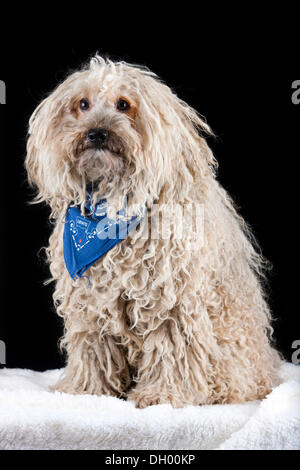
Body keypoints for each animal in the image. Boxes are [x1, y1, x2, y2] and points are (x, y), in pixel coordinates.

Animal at [25, 55, 282, 408]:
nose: (97, 132)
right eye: (82, 104)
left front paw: (163, 394)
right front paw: (86, 390)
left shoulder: (172, 299)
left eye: (123, 104)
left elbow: (170, 347)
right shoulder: (91, 301)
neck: (113, 205)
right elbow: (93, 347)